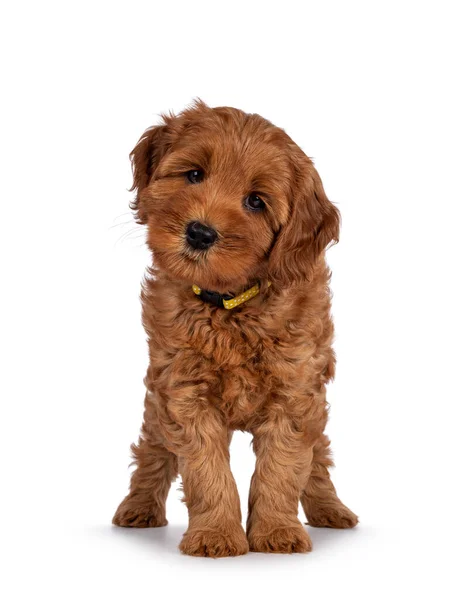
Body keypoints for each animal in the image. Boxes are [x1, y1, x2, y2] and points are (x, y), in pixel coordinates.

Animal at [113, 101, 358, 556]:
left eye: (256, 201)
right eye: (194, 175)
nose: (199, 232)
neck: (230, 305)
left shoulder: (295, 393)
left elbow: (282, 468)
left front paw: (277, 532)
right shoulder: (184, 393)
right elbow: (207, 471)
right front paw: (216, 535)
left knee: (319, 457)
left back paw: (331, 509)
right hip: (156, 404)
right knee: (152, 449)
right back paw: (137, 508)